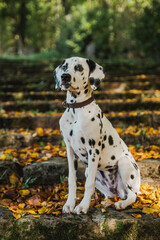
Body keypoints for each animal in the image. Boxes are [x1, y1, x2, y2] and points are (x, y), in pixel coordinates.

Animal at [53, 56, 140, 214]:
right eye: (64, 67)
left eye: (79, 68)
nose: (65, 77)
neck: (77, 110)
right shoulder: (70, 150)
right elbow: (72, 180)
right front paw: (70, 204)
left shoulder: (93, 149)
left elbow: (89, 184)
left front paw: (82, 206)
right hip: (89, 171)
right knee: (109, 194)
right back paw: (106, 202)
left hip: (124, 164)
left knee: (132, 195)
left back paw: (122, 204)